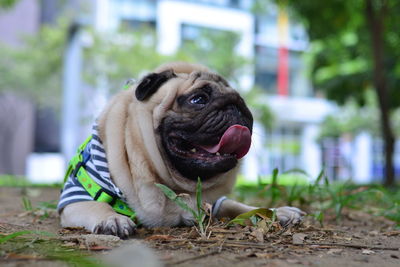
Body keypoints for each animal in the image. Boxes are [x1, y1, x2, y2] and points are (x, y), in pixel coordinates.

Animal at [57, 62, 304, 239]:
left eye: (242, 101)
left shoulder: (215, 202)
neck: (176, 186)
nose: (235, 105)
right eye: (198, 99)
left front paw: (277, 212)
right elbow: (96, 206)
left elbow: (240, 206)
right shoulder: (75, 197)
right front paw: (112, 219)